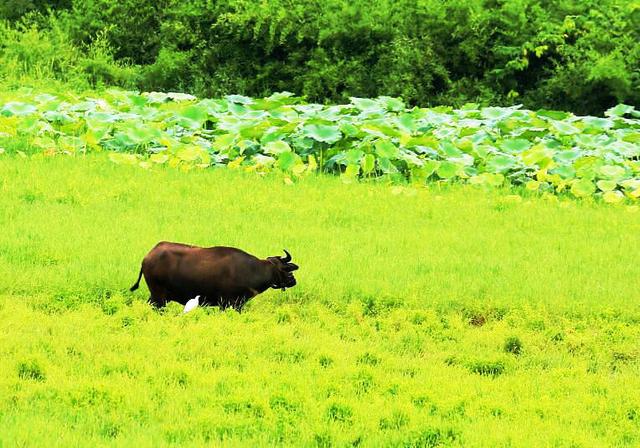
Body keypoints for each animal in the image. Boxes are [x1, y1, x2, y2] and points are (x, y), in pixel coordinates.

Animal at [131, 242, 302, 312]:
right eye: (286, 269)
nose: (293, 280)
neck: (252, 270)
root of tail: (148, 256)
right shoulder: (229, 303)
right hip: (158, 296)